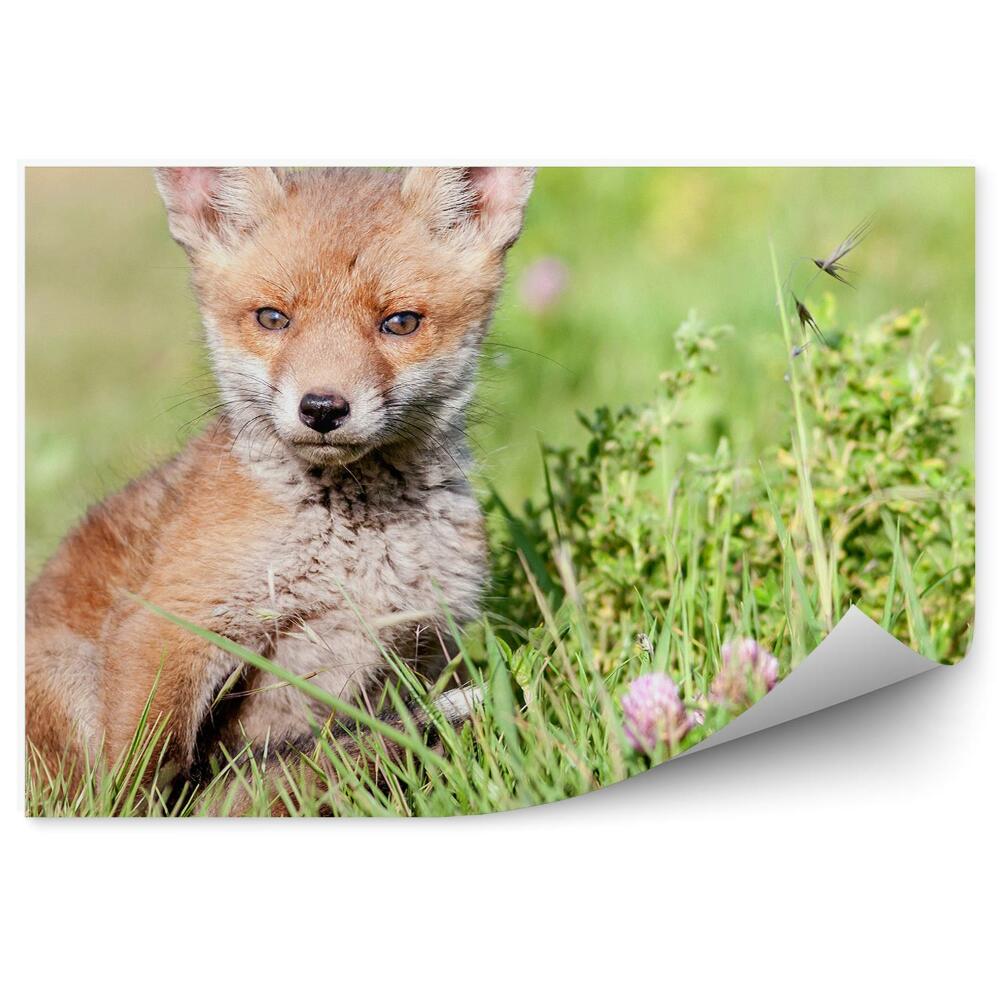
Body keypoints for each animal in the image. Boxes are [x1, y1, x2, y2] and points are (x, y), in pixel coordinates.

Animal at [26, 165, 535, 795]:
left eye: (400, 322)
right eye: (272, 318)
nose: (322, 408)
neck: (356, 556)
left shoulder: (425, 644)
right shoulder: (171, 624)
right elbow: (139, 776)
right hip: (65, 670)